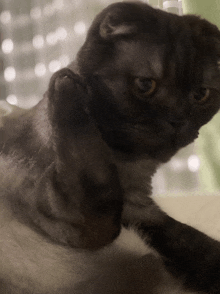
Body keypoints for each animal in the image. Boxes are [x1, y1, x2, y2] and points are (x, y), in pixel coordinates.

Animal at [1, 1, 220, 292]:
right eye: (145, 85)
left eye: (201, 95)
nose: (178, 119)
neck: (128, 168)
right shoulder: (70, 219)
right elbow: (104, 210)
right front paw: (64, 81)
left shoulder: (144, 213)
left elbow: (196, 244)